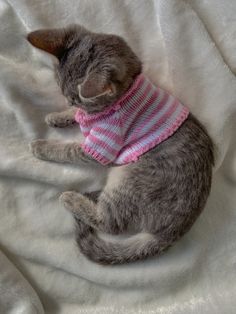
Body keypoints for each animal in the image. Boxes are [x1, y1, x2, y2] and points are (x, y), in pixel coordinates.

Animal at [26, 25, 214, 264]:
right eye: (62, 92)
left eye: (76, 98)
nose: (69, 102)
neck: (126, 93)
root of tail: (172, 232)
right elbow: (75, 117)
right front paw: (59, 116)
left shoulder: (100, 148)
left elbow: (67, 150)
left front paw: (41, 146)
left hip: (128, 180)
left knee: (109, 223)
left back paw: (72, 198)